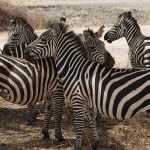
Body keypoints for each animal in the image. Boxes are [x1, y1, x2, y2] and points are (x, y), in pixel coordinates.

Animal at [25, 22, 149, 150]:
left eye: (43, 39)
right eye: (92, 47)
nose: (25, 52)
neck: (75, 69)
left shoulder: (77, 100)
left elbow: (78, 125)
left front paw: (77, 146)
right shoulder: (86, 102)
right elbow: (90, 121)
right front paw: (95, 143)